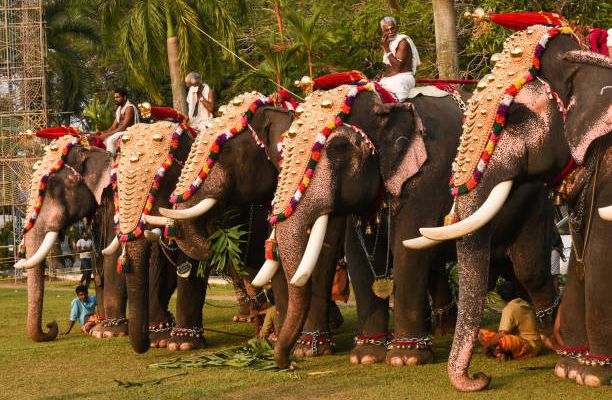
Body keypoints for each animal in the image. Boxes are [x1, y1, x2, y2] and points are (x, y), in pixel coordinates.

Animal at [414, 25, 608, 390]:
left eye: (515, 116)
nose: (480, 378)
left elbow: (599, 249)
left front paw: (589, 374)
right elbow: (582, 251)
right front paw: (570, 368)